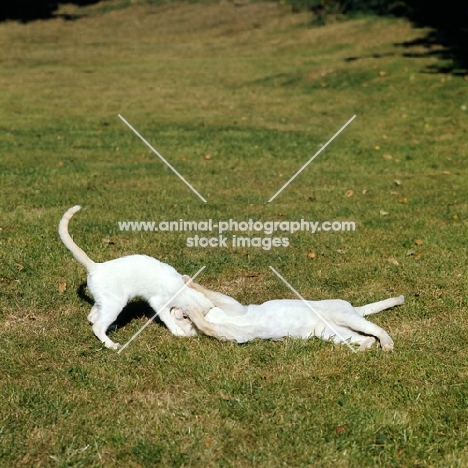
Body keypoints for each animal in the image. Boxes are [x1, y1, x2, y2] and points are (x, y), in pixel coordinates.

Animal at [57, 207, 216, 350]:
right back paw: (111, 345)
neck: (184, 291)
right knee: (97, 326)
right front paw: (178, 332)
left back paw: (112, 326)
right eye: (186, 318)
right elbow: (168, 319)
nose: (181, 315)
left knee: (92, 317)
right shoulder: (157, 302)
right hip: (116, 303)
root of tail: (96, 267)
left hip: (105, 302)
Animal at [172, 276, 402, 350]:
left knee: (378, 329)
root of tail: (352, 306)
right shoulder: (234, 335)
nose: (174, 309)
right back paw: (364, 348)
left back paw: (387, 344)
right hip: (332, 334)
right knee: (365, 338)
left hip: (344, 317)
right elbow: (208, 326)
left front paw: (187, 283)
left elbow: (208, 293)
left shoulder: (233, 306)